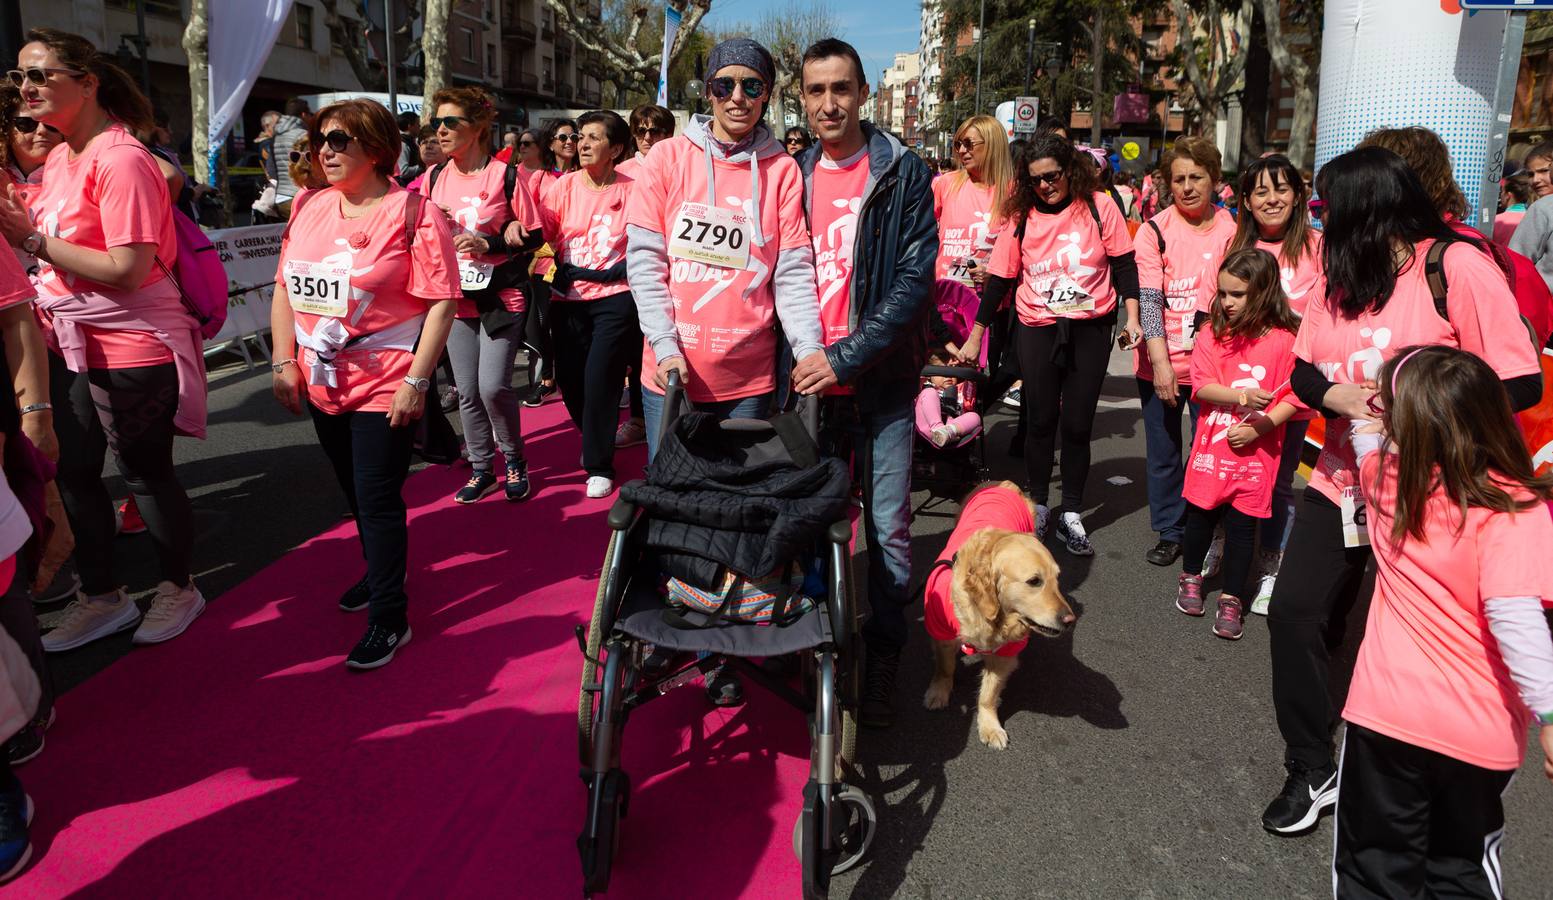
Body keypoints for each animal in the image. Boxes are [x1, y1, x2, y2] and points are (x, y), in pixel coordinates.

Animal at [913, 481, 1074, 747]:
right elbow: (945, 666)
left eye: (1057, 579)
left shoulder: (1007, 652)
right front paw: (939, 691)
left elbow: (988, 694)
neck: (986, 614)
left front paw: (989, 726)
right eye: (1034, 581)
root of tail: (1003, 483)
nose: (1070, 620)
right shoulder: (940, 630)